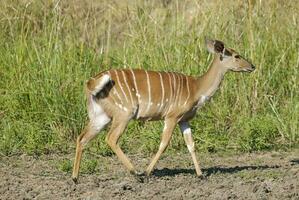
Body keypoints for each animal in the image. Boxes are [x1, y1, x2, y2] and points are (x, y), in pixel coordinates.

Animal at [72, 38, 255, 183]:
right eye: (236, 56)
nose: (252, 66)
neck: (196, 88)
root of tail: (91, 83)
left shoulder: (184, 119)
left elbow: (191, 145)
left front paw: (201, 175)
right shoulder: (171, 117)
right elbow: (164, 144)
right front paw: (147, 172)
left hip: (101, 116)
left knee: (82, 138)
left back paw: (75, 178)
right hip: (124, 113)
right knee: (111, 138)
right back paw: (136, 173)